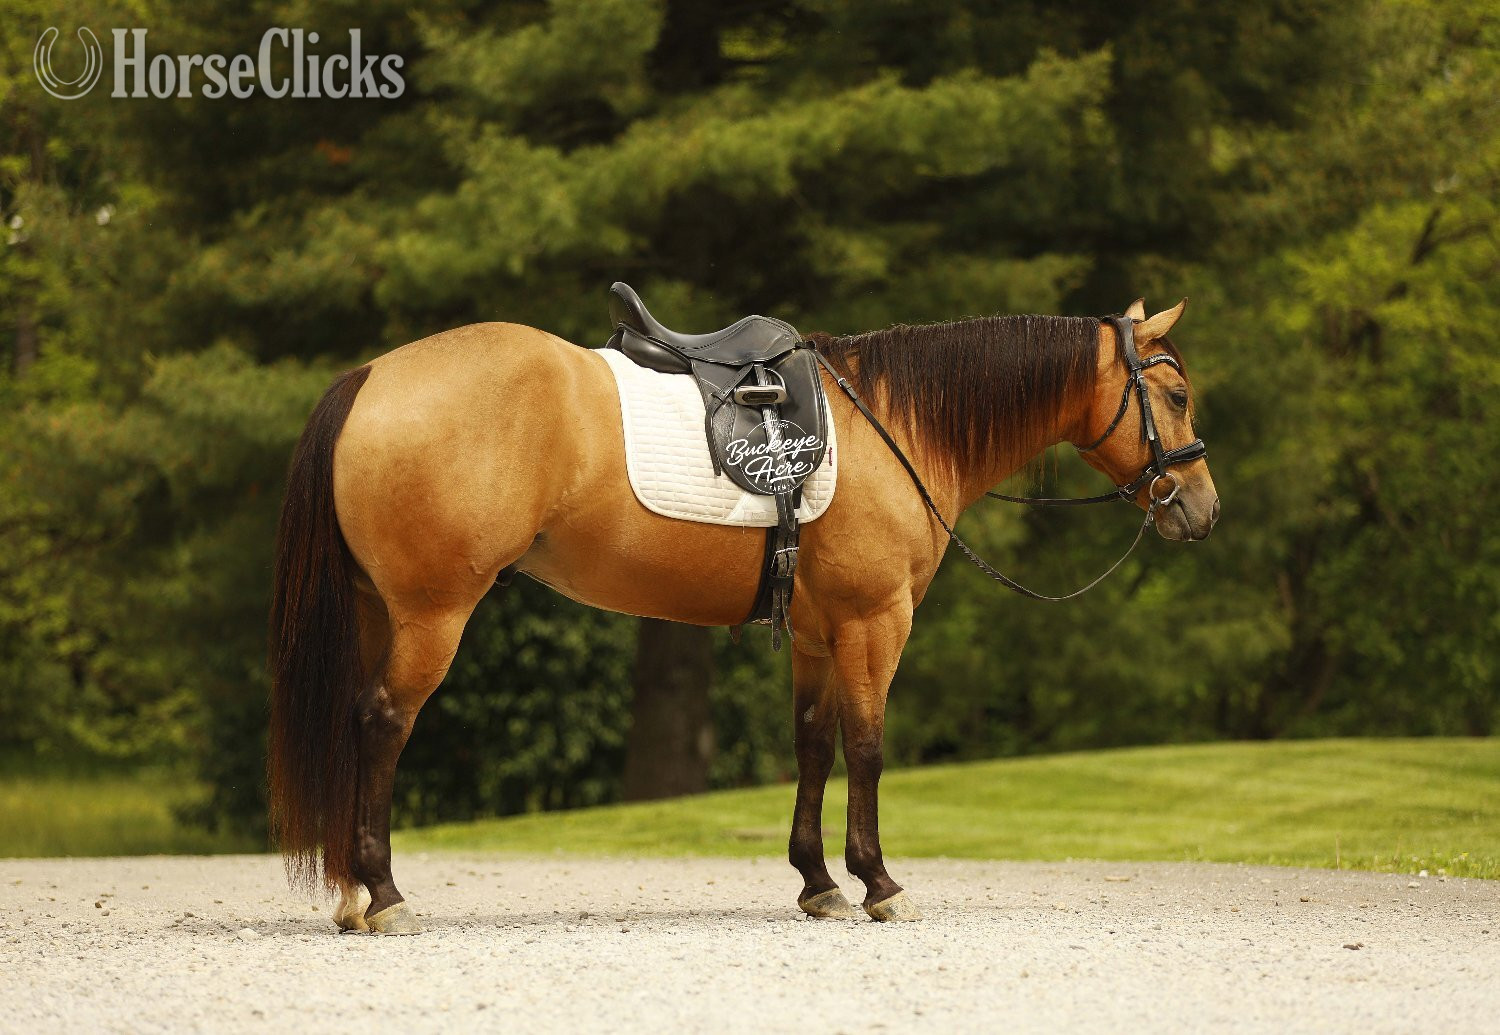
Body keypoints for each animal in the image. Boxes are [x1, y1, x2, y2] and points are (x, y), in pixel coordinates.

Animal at [267, 296, 1219, 934]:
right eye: (1174, 395)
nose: (1202, 509)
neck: (895, 423)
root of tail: (369, 378)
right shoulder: (875, 623)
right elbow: (868, 746)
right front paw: (878, 881)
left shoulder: (818, 636)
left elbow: (813, 745)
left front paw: (818, 882)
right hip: (433, 615)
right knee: (383, 723)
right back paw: (384, 892)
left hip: (379, 613)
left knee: (357, 724)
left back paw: (353, 896)